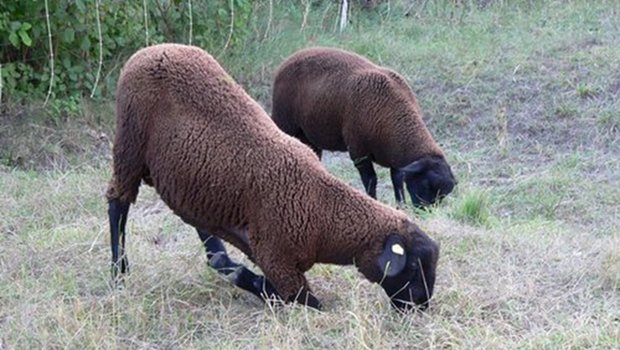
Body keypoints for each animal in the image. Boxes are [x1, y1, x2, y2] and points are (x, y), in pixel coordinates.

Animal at [272, 46, 456, 208]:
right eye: (426, 184)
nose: (425, 211)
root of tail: (290, 59)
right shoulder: (359, 151)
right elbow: (370, 180)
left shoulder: (395, 157)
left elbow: (396, 180)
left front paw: (400, 207)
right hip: (284, 122)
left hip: (310, 135)